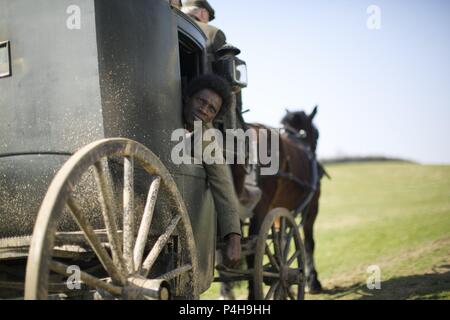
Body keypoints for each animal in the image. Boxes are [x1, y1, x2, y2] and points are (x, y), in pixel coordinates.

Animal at [232, 106, 324, 298]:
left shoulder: (276, 210)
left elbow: (281, 242)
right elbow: (308, 243)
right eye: (317, 134)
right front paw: (312, 281)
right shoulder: (313, 206)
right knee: (252, 250)